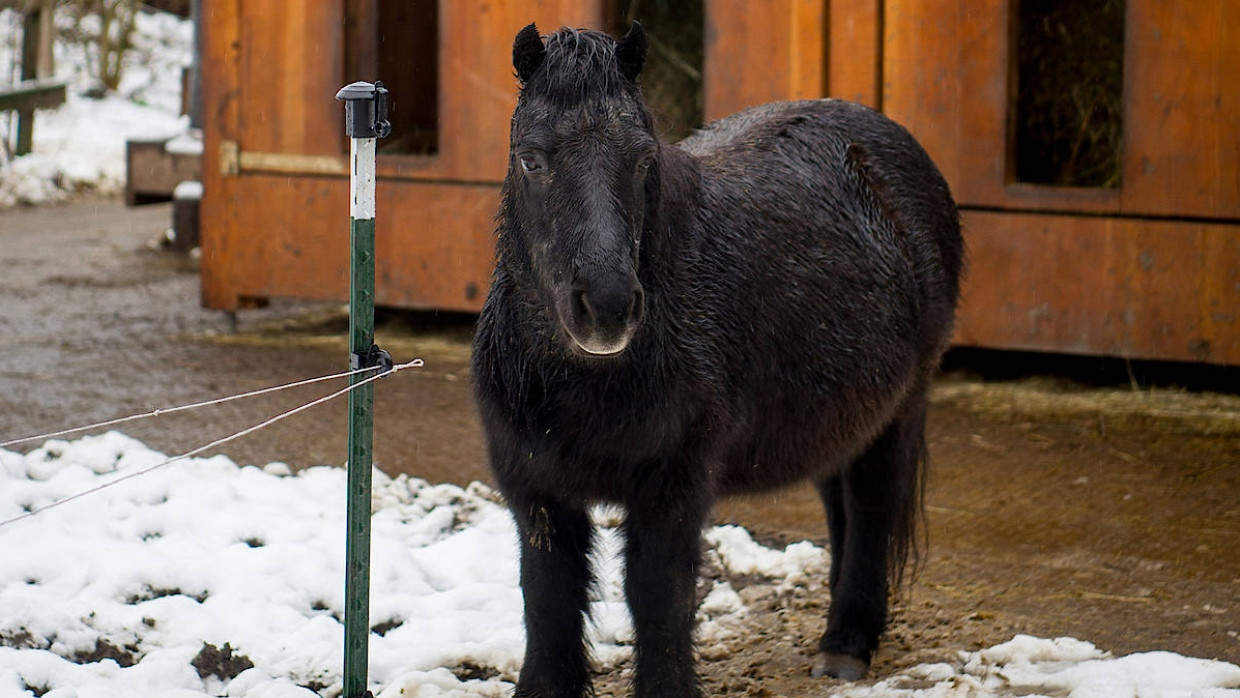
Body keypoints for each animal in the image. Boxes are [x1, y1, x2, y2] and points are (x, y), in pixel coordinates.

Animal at [471, 22, 963, 697]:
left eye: (643, 159)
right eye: (531, 158)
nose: (607, 306)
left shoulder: (671, 491)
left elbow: (658, 602)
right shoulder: (537, 495)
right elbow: (549, 605)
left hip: (898, 414)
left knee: (870, 509)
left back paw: (847, 644)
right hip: (838, 416)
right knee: (843, 505)